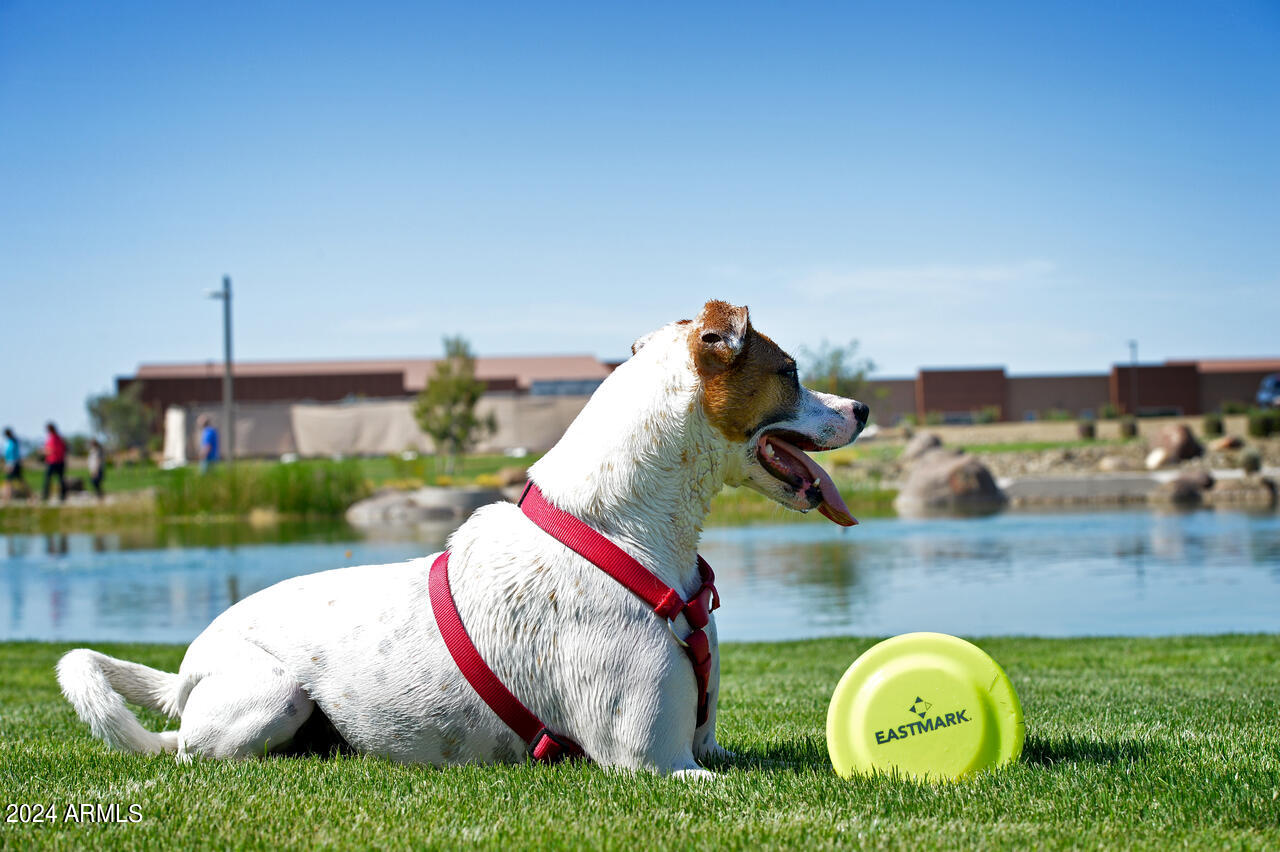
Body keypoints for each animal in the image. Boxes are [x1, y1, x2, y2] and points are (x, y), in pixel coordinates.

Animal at [57, 300, 870, 777]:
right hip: (269, 696)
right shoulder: (659, 766)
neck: (622, 532)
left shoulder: (709, 747)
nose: (862, 407)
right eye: (790, 370)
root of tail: (187, 666)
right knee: (183, 748)